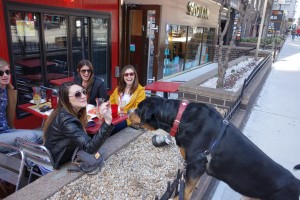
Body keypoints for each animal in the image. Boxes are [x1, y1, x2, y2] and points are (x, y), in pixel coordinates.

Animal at [129, 97, 300, 198]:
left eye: (138, 108)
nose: (128, 111)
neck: (179, 118)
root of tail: (296, 183)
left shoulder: (196, 165)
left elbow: (185, 191)